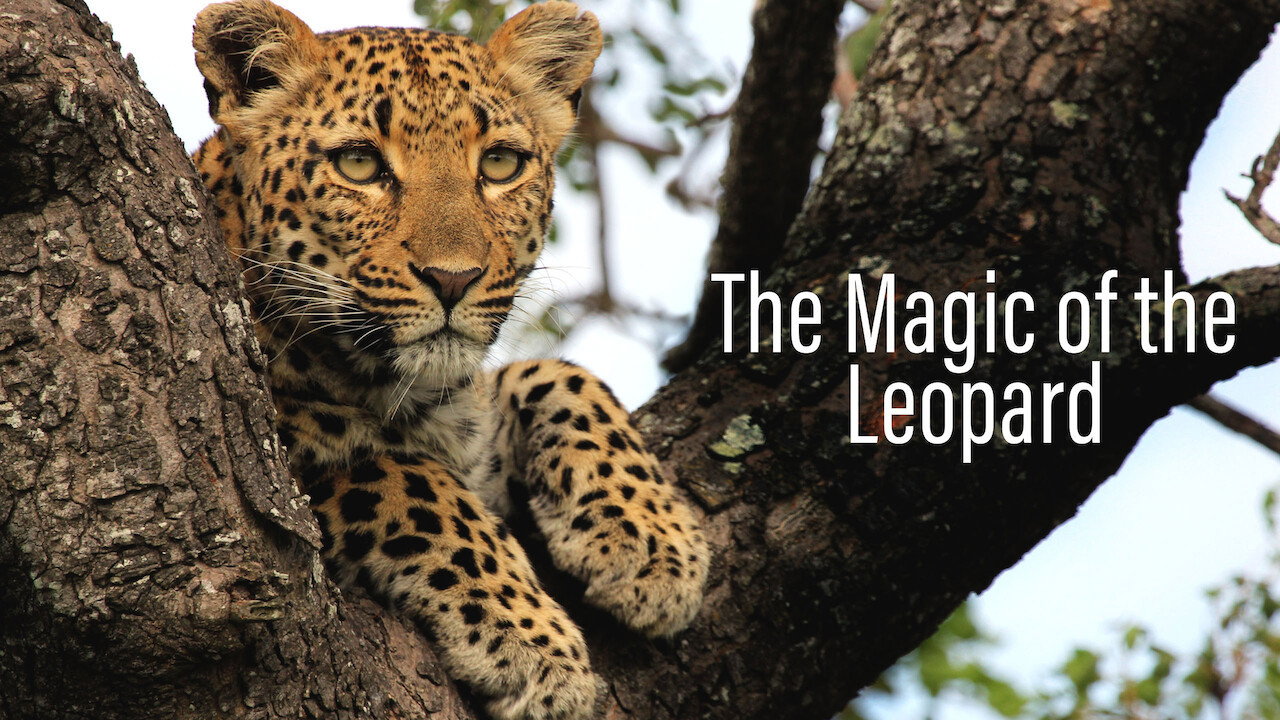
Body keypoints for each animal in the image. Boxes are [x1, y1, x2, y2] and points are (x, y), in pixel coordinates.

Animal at [189, 2, 710, 718]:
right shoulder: (295, 447)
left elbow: (562, 374)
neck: (404, 391)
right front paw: (537, 651)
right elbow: (411, 482)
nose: (454, 279)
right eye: (359, 164)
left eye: (500, 164)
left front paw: (654, 545)